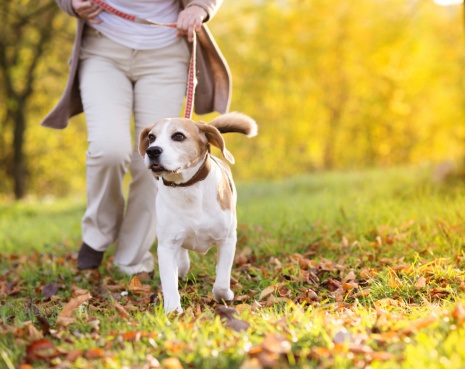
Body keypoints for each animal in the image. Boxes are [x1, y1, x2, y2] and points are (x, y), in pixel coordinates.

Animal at [138, 112, 258, 314]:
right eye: (151, 137)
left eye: (178, 136)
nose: (152, 151)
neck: (188, 188)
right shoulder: (166, 246)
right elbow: (169, 282)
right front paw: (173, 311)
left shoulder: (227, 240)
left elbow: (221, 281)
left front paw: (225, 296)